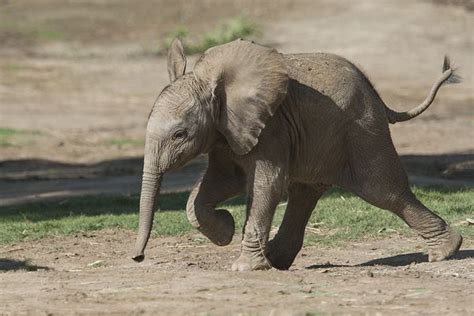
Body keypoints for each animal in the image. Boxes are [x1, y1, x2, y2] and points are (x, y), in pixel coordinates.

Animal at [132, 38, 462, 270]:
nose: (138, 258)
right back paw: (276, 260)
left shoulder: (271, 126)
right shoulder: (225, 132)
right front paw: (226, 231)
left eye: (179, 135)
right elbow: (218, 184)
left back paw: (446, 251)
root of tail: (377, 95)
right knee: (304, 194)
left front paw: (244, 266)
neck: (213, 83)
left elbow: (266, 185)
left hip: (363, 129)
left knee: (382, 190)